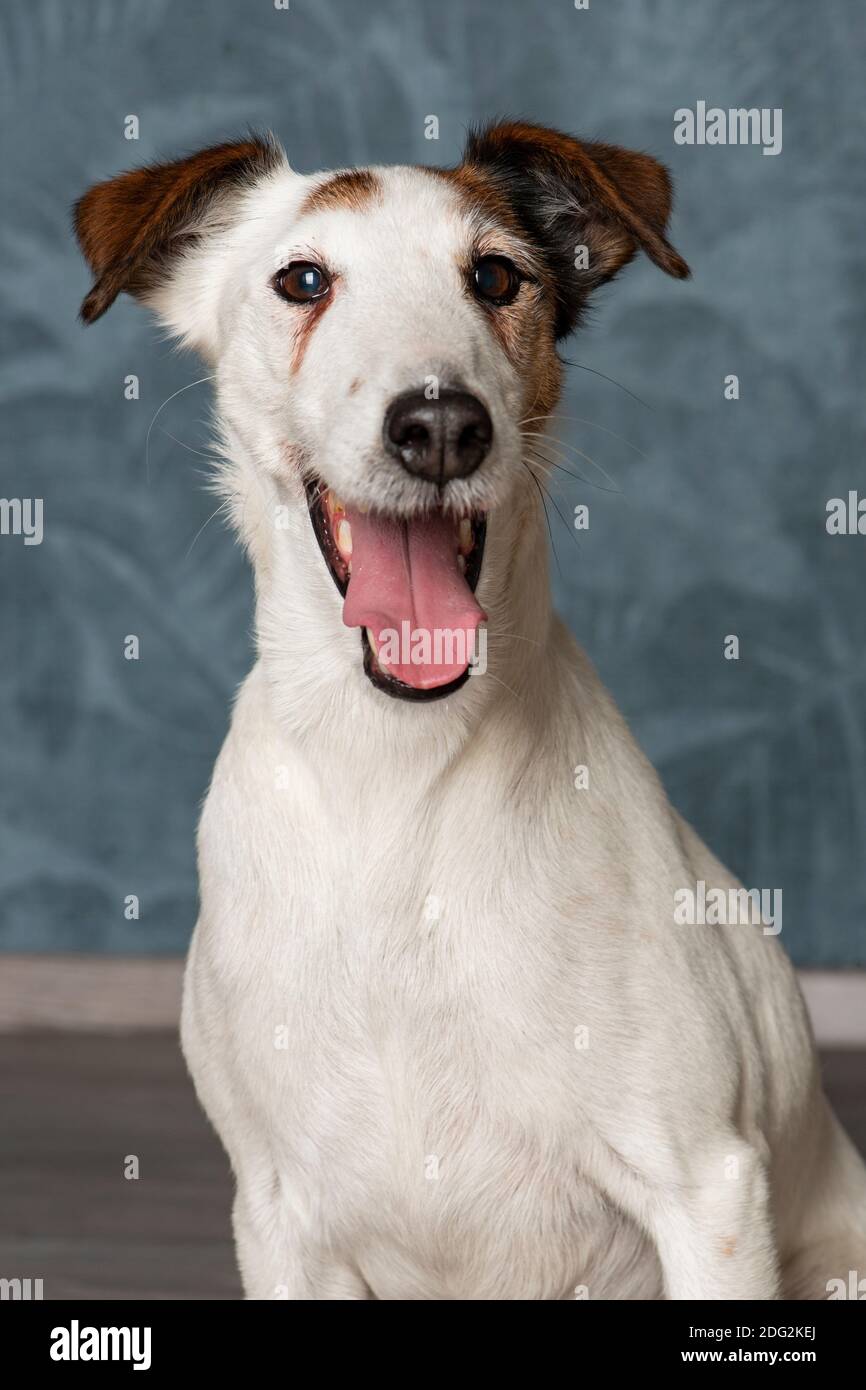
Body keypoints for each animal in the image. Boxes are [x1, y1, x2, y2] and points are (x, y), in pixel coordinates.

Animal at [77, 122, 861, 1301]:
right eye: (301, 280)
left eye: (495, 277)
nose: (442, 424)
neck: (393, 777)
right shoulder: (279, 1221)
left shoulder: (707, 1190)